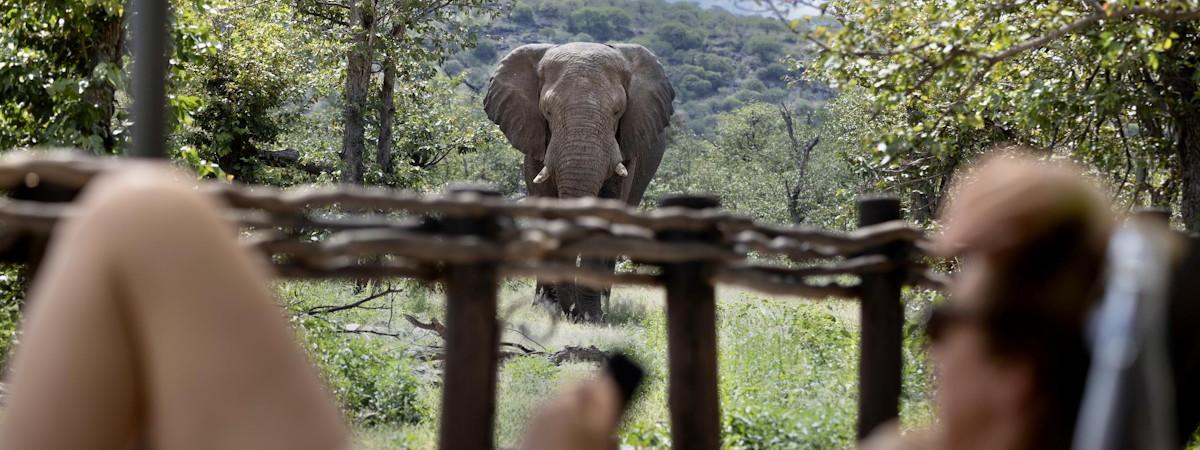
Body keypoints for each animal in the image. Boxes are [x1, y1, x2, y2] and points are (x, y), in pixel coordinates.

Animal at [484, 42, 676, 321]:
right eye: (547, 111)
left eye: (617, 111)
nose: (572, 312)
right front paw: (547, 310)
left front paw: (591, 318)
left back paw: (604, 307)